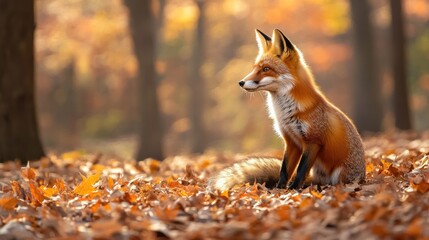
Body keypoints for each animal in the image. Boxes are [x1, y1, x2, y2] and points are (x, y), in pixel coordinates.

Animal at [209, 29, 362, 190]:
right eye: (255, 68)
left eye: (266, 69)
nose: (241, 82)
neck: (285, 112)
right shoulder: (291, 141)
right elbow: (284, 170)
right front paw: (280, 189)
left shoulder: (313, 141)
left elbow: (300, 170)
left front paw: (294, 189)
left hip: (339, 176)